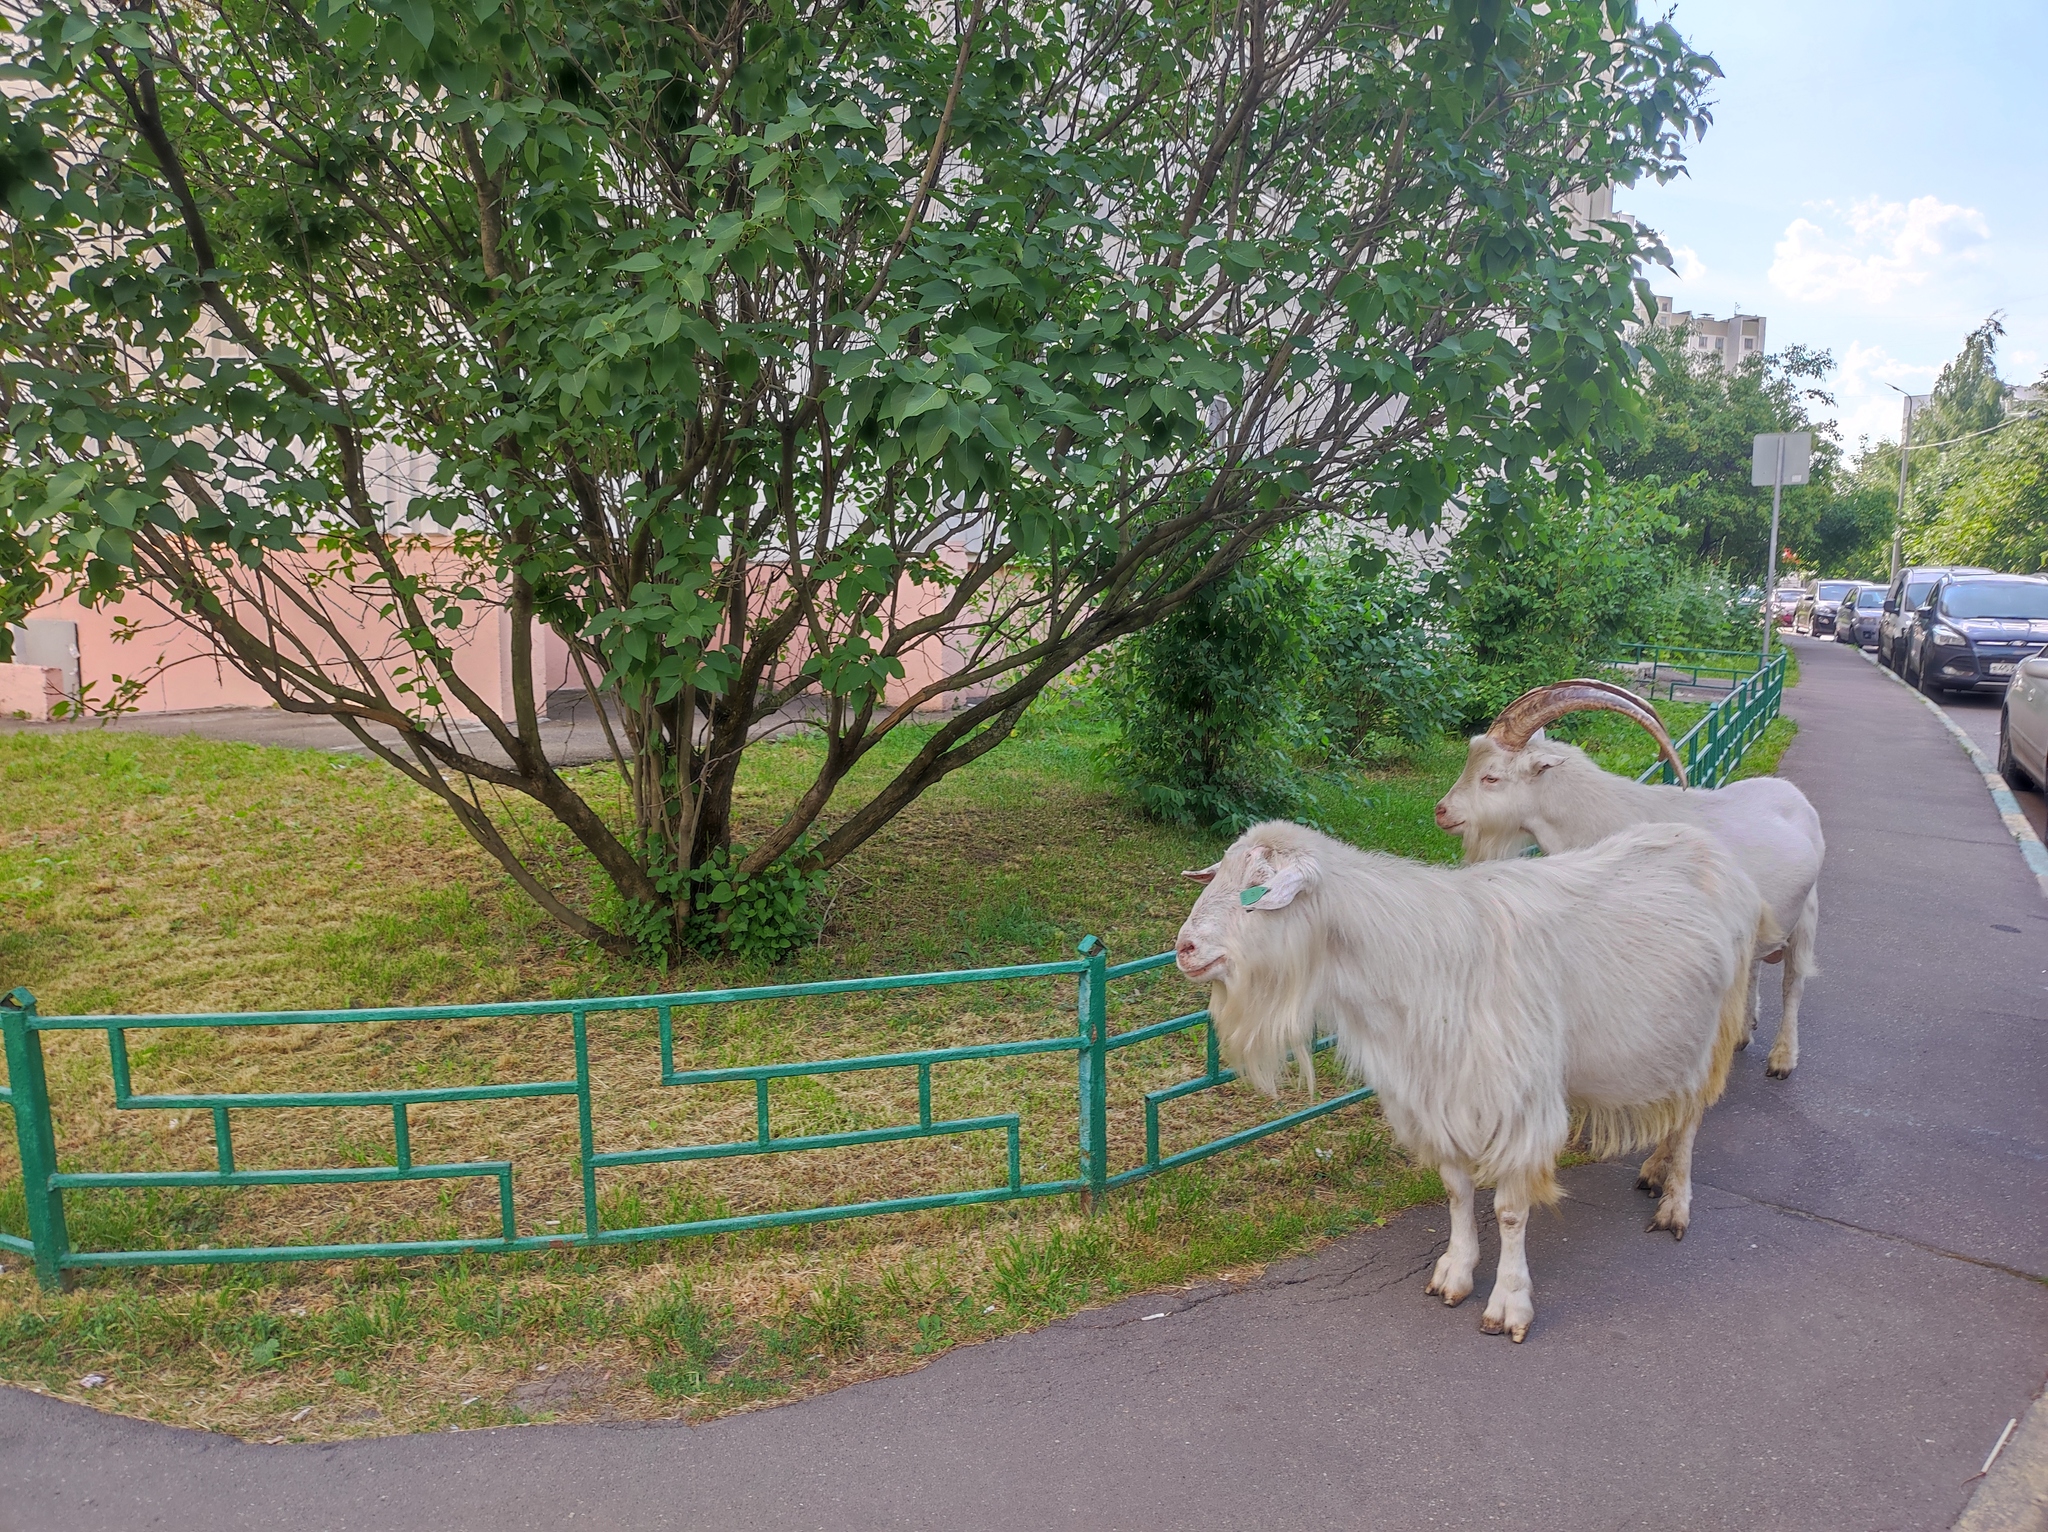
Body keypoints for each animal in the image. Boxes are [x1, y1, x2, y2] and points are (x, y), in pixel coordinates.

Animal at [1179, 815, 1769, 1343]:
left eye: (1257, 889)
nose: (1184, 948)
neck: (1415, 964)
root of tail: (1705, 843)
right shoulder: (1431, 1095)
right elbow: (1457, 1191)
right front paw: (1455, 1273)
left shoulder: (1519, 1105)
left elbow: (1509, 1211)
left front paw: (1509, 1303)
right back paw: (1654, 1168)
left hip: (1713, 1030)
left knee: (1690, 1120)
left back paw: (1675, 1204)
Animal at [1425, 684, 1826, 1073]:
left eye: (1491, 777)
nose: (1442, 812)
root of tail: (1793, 795)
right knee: (1756, 967)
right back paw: (1743, 1032)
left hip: (1807, 914)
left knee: (1793, 984)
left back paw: (1782, 1058)